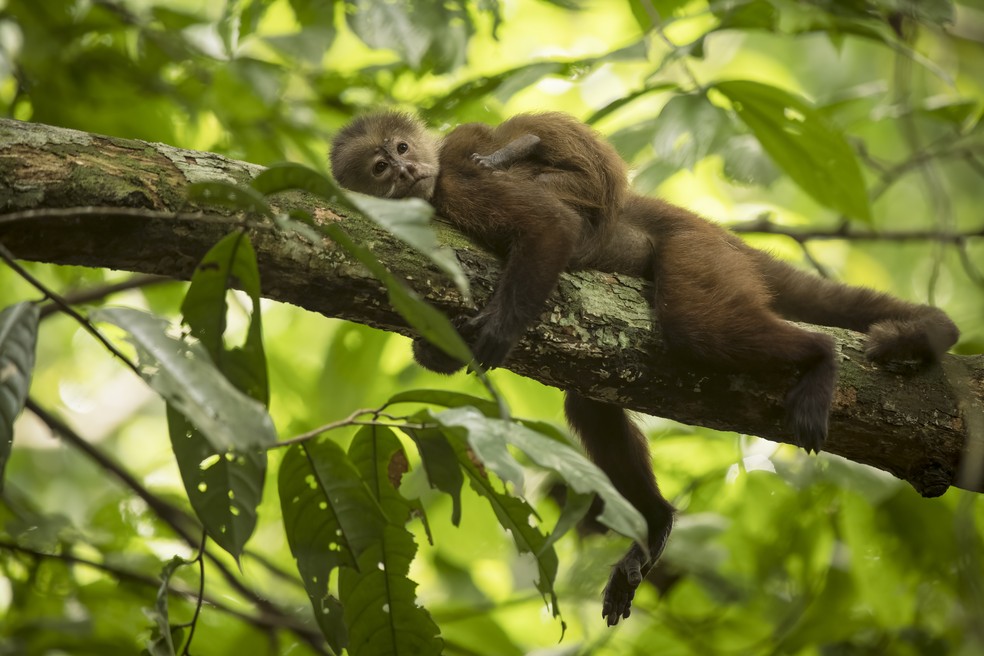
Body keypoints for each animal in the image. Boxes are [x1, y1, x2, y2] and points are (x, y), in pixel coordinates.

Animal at [326, 111, 956, 624]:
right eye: (380, 167)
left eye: (403, 149)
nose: (407, 171)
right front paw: (438, 350)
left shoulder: (460, 180)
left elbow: (549, 229)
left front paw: (500, 330)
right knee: (589, 402)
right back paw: (654, 521)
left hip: (700, 253)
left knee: (694, 324)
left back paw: (821, 358)